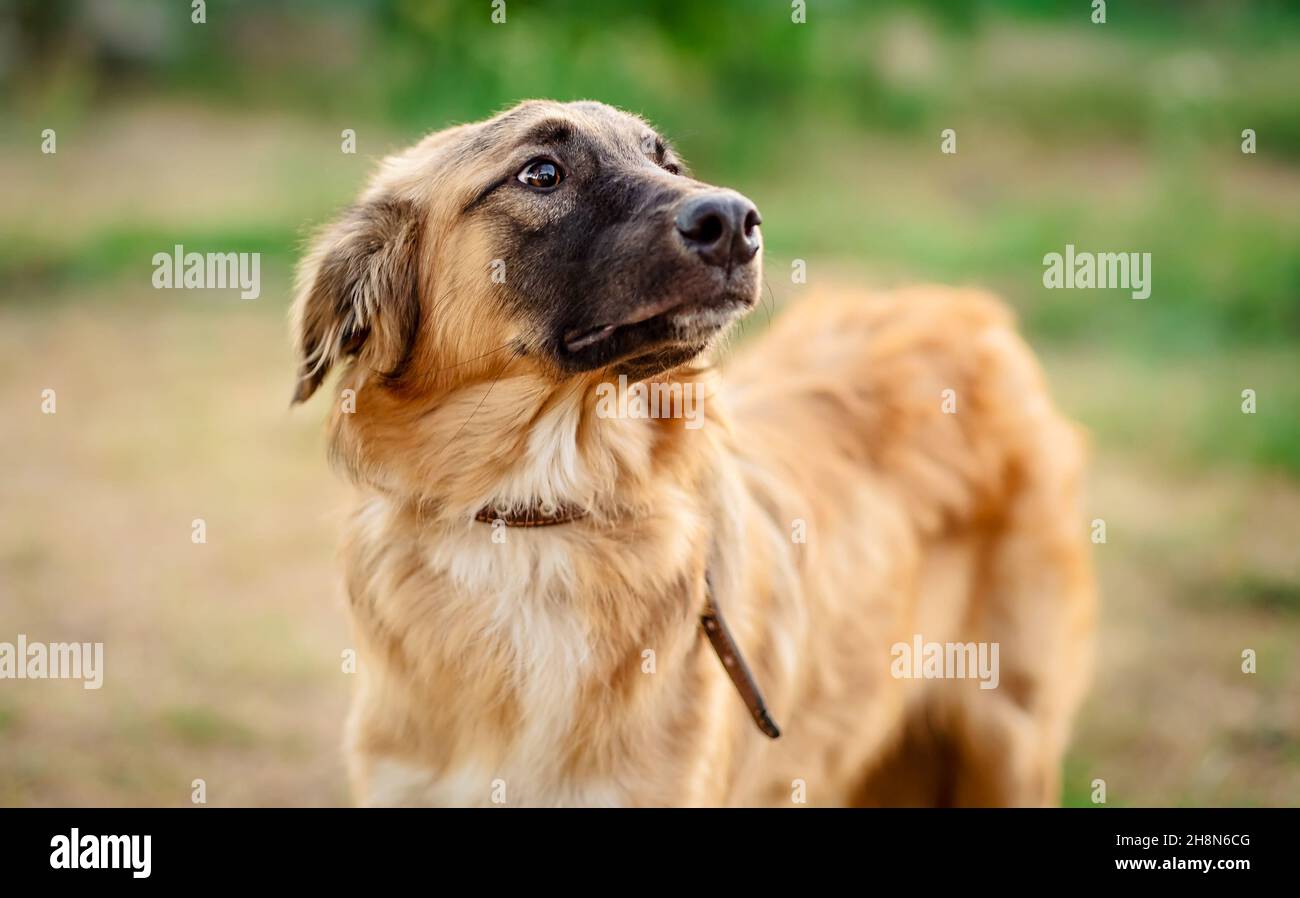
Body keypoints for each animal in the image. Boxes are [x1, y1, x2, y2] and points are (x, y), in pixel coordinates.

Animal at [289, 98, 1092, 805]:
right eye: (541, 173)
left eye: (666, 162)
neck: (535, 517)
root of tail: (963, 305)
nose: (736, 222)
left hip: (1008, 744)